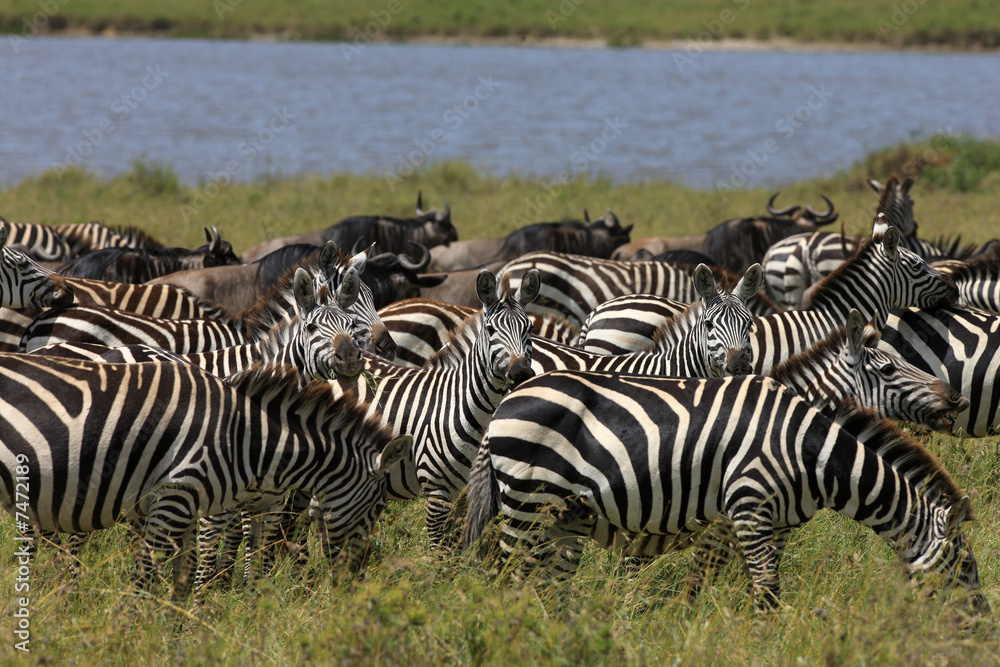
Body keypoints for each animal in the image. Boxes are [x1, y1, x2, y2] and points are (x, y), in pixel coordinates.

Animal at [0, 358, 412, 600]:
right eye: (378, 507)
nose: (357, 580)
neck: (240, 436)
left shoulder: (186, 508)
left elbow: (184, 578)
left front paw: (178, 635)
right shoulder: (175, 496)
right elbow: (146, 579)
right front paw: (132, 638)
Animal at [460, 371, 988, 613]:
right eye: (966, 567)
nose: (981, 625)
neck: (811, 453)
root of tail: (507, 400)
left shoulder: (774, 521)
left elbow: (725, 577)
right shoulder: (749, 504)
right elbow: (766, 587)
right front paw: (767, 639)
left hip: (563, 516)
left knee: (544, 583)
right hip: (529, 501)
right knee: (506, 576)